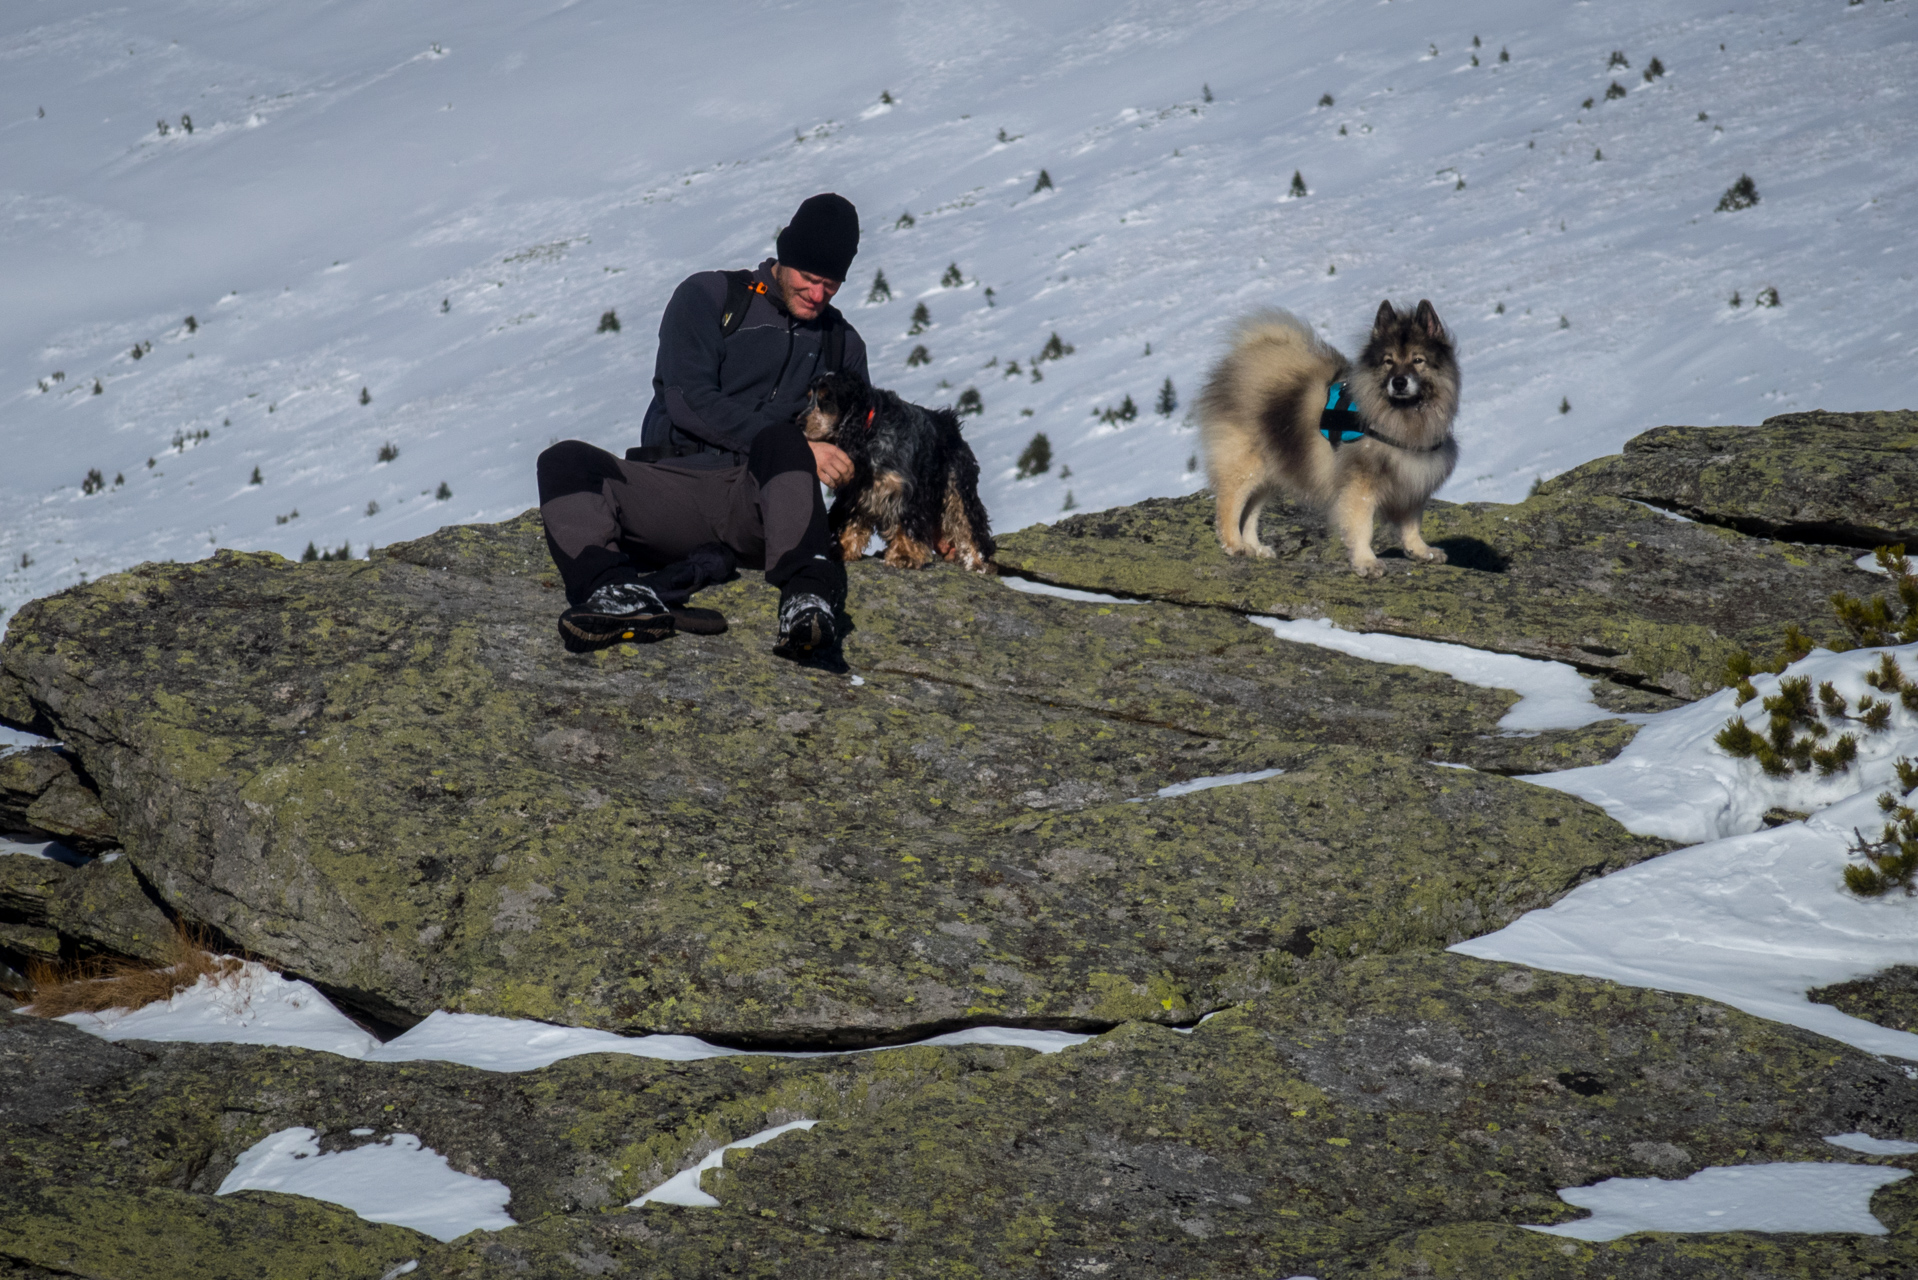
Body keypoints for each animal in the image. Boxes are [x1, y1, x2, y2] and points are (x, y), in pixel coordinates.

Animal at [797, 370, 997, 571]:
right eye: (809, 397)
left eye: (827, 399)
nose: (798, 422)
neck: (869, 431)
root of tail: (949, 421)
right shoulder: (856, 492)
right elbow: (851, 521)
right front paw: (843, 549)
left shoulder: (907, 490)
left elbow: (906, 522)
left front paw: (904, 555)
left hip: (958, 483)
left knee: (968, 522)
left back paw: (976, 562)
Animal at [1196, 297, 1450, 579]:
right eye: (1388, 361)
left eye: (1418, 360)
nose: (1399, 382)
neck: (1400, 417)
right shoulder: (1360, 486)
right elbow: (1362, 526)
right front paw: (1367, 562)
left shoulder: (1412, 480)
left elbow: (1411, 524)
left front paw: (1422, 551)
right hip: (1246, 465)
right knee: (1230, 506)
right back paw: (1235, 545)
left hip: (1270, 471)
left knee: (1250, 511)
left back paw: (1256, 547)